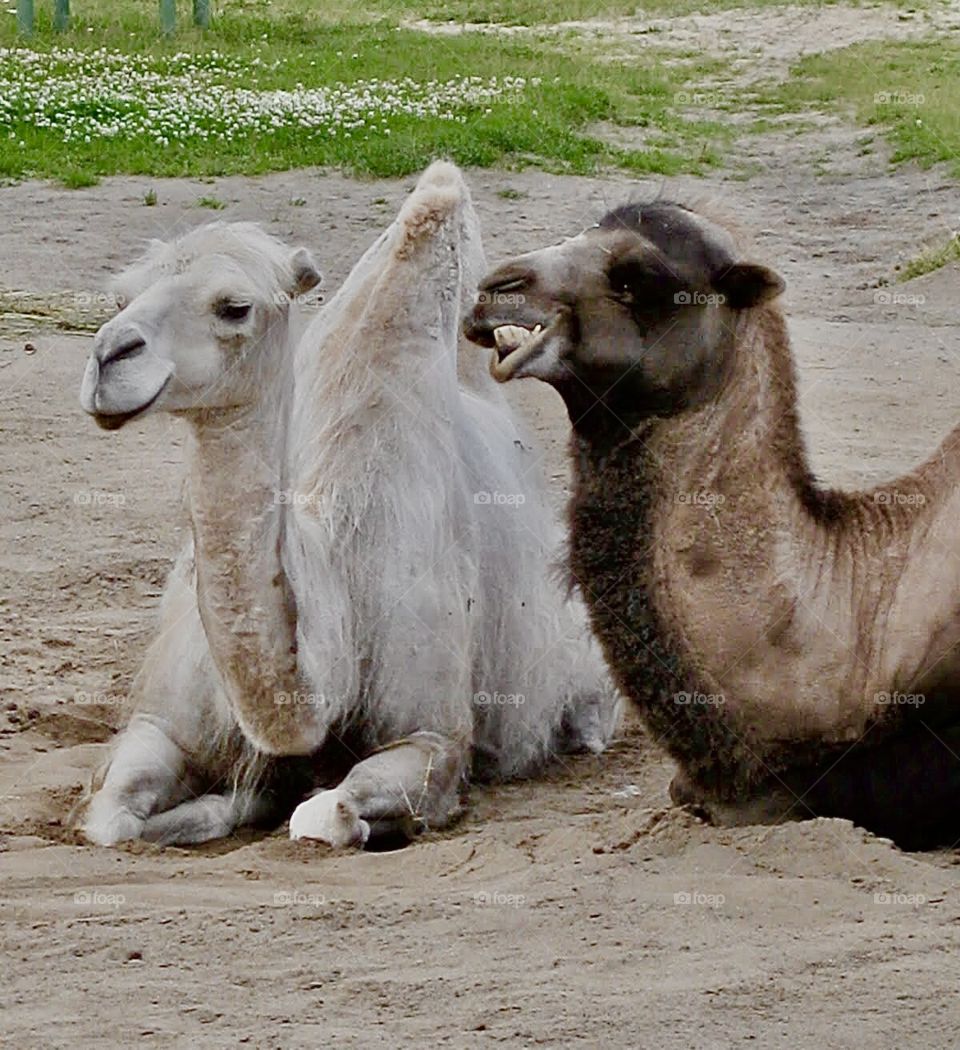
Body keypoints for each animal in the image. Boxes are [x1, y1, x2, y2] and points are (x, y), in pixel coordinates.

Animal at [78, 162, 619, 848]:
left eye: (235, 307)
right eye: (121, 297)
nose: (107, 359)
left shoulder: (432, 735)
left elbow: (322, 815)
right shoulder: (162, 719)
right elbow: (111, 821)